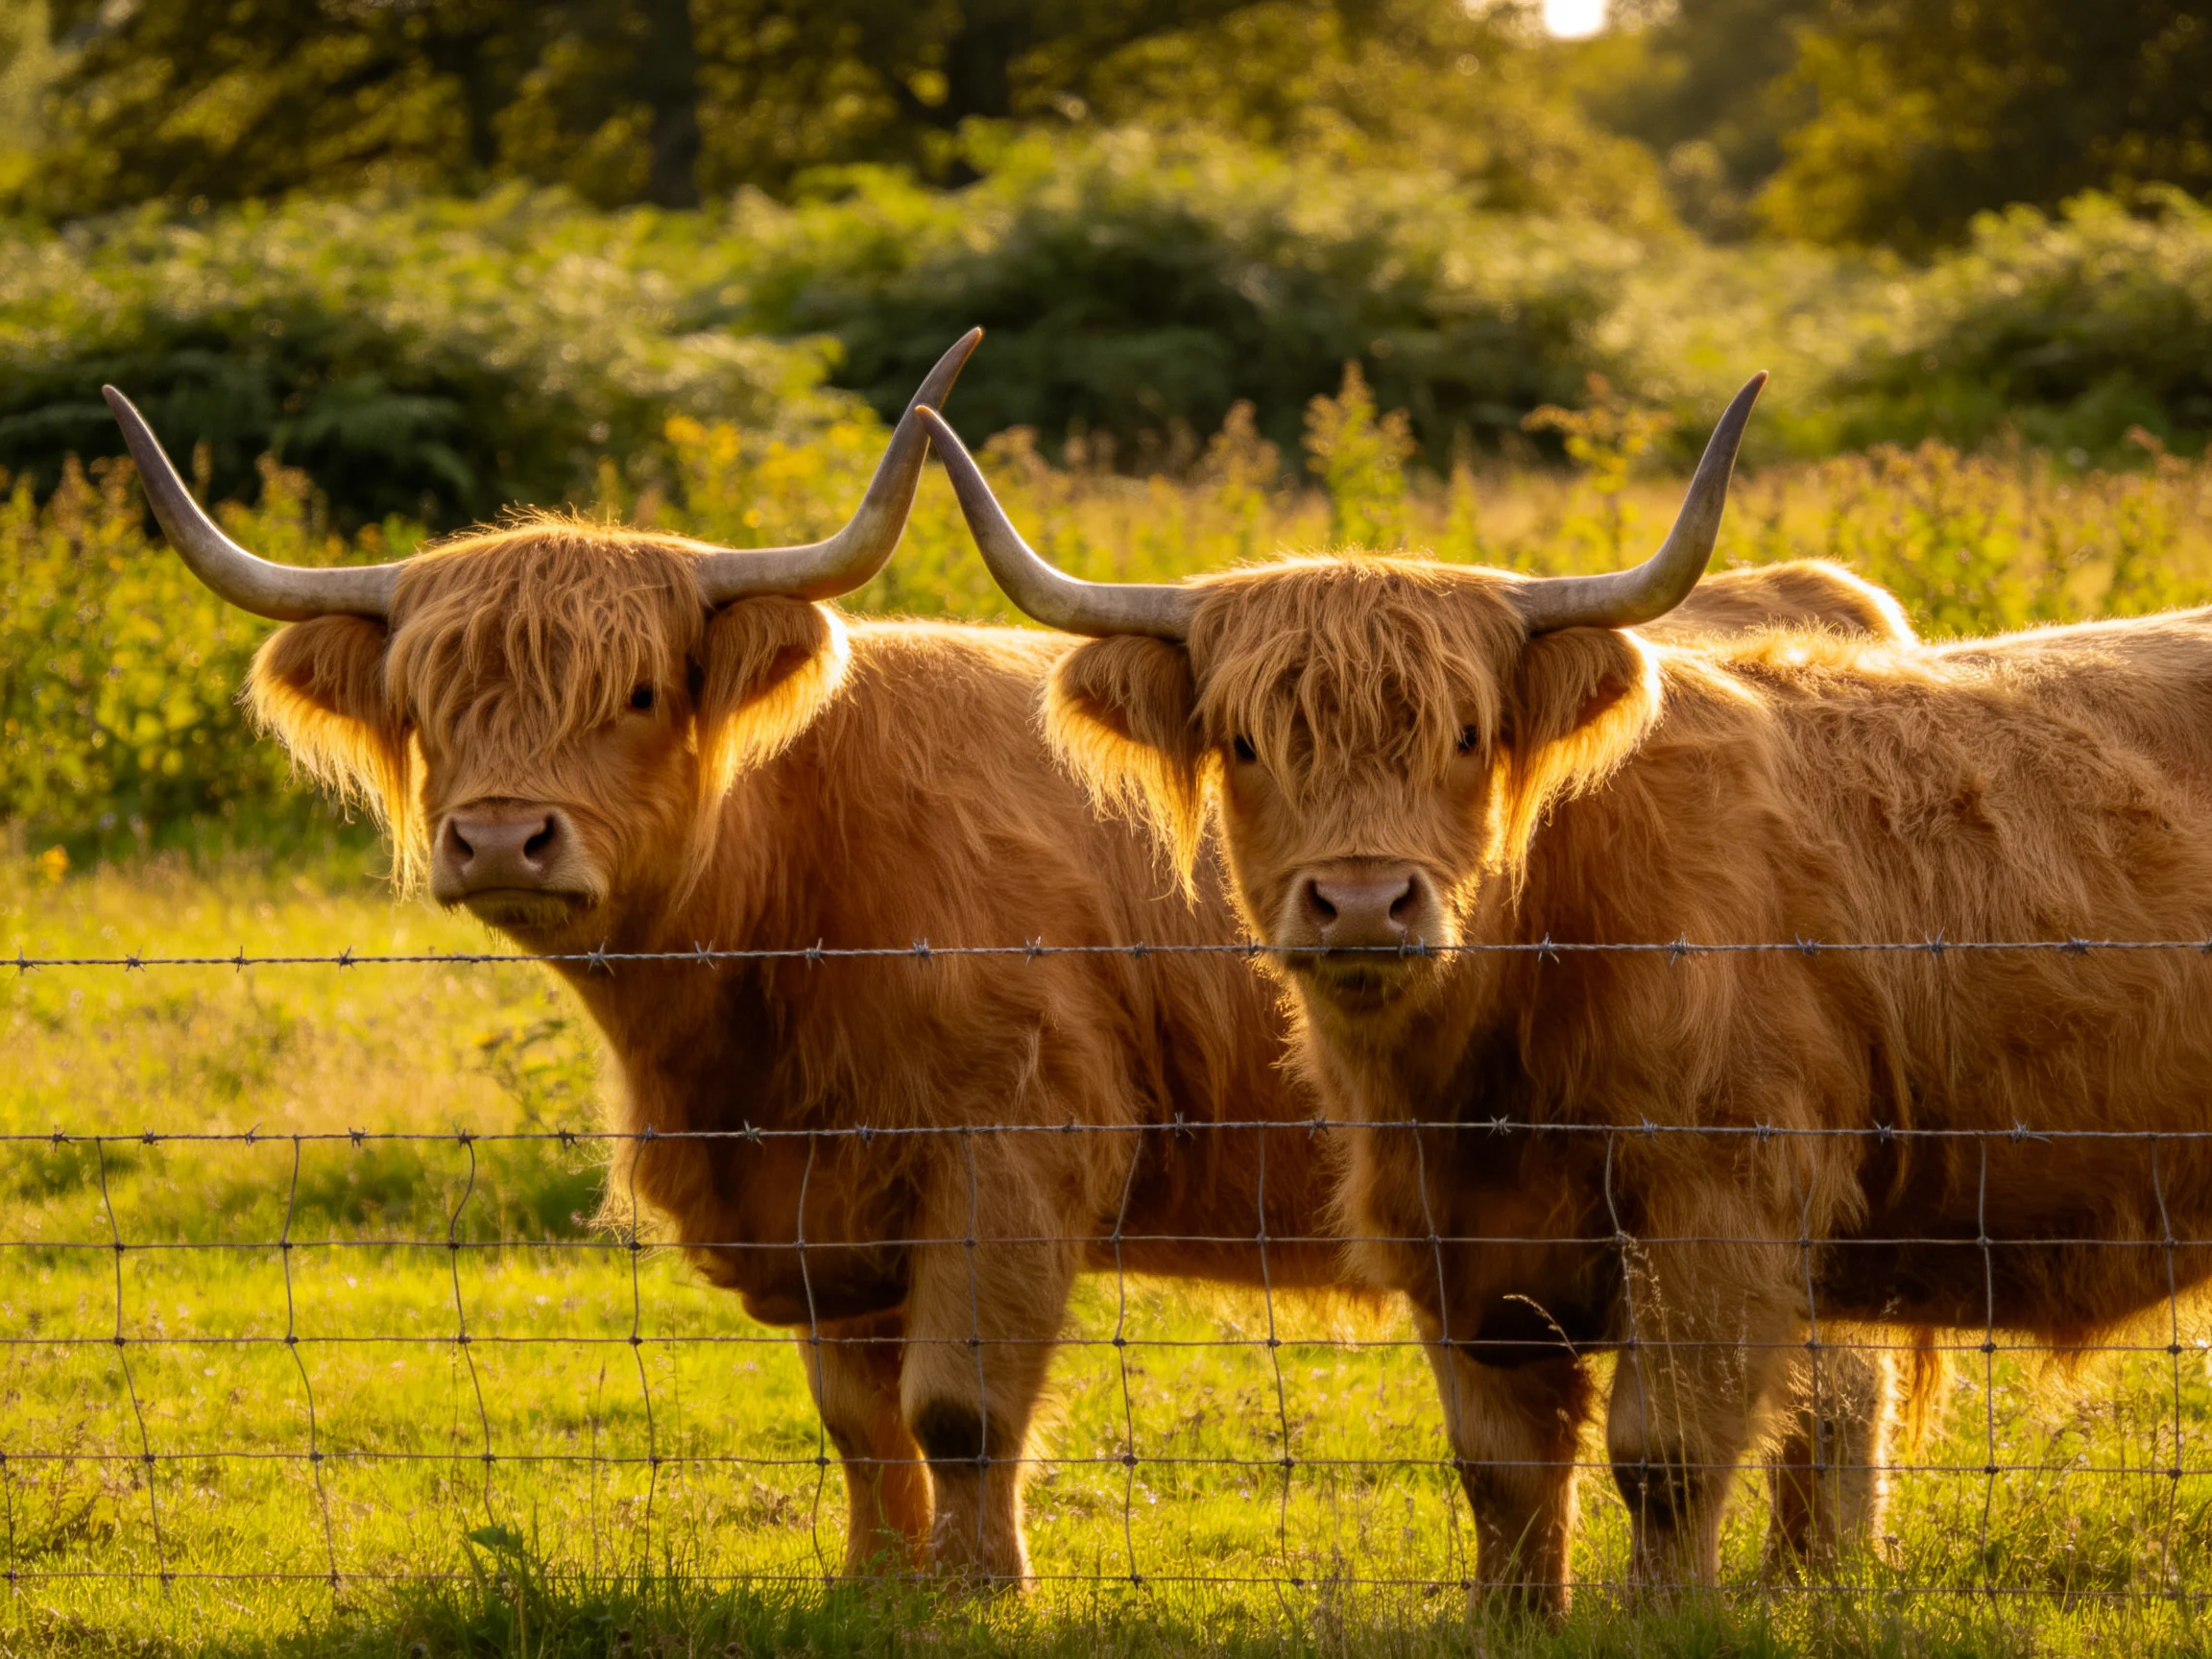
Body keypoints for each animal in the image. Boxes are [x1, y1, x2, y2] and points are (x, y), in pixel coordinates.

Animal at [107, 343, 1917, 1592]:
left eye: (633, 691)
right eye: (431, 701)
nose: (499, 838)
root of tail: (1814, 603)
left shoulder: (1009, 1150)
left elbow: (959, 1405)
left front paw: (981, 1592)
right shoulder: (827, 1204)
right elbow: (857, 1421)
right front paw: (876, 1587)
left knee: (1819, 1376)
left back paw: (1803, 1581)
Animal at [918, 386, 2212, 1613]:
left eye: (1468, 732)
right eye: (1244, 742)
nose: (1363, 903)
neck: (1487, 1065)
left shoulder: (1716, 1203)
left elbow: (1666, 1455)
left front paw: (1665, 1615)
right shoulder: (1454, 1243)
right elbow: (1503, 1472)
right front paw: (1512, 1615)